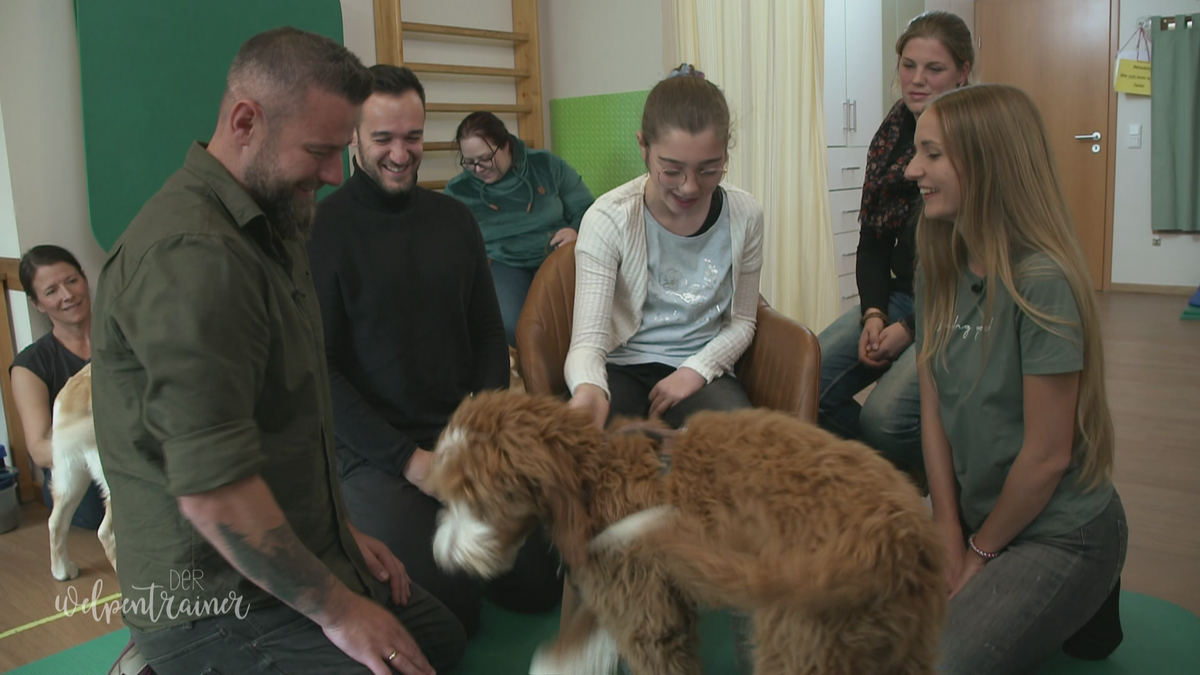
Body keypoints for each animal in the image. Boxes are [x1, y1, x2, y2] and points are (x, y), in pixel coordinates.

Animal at [429, 389, 945, 672]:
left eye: (475, 496)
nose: (441, 559)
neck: (595, 473)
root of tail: (895, 539)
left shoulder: (643, 613)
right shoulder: (630, 589)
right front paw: (562, 660)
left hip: (803, 644)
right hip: (897, 645)